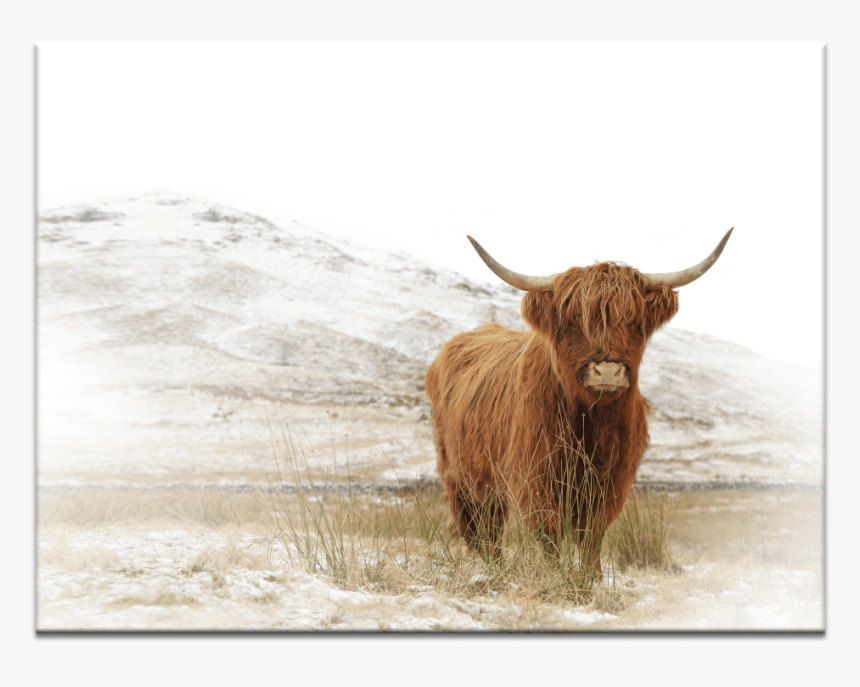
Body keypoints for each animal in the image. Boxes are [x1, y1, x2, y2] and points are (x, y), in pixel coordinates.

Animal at [425, 229, 733, 576]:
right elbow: (548, 533)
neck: (593, 422)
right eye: (573, 322)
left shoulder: (612, 481)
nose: (608, 370)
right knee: (477, 529)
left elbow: (591, 534)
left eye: (633, 320)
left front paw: (591, 578)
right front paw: (556, 577)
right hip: (459, 474)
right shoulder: (538, 477)